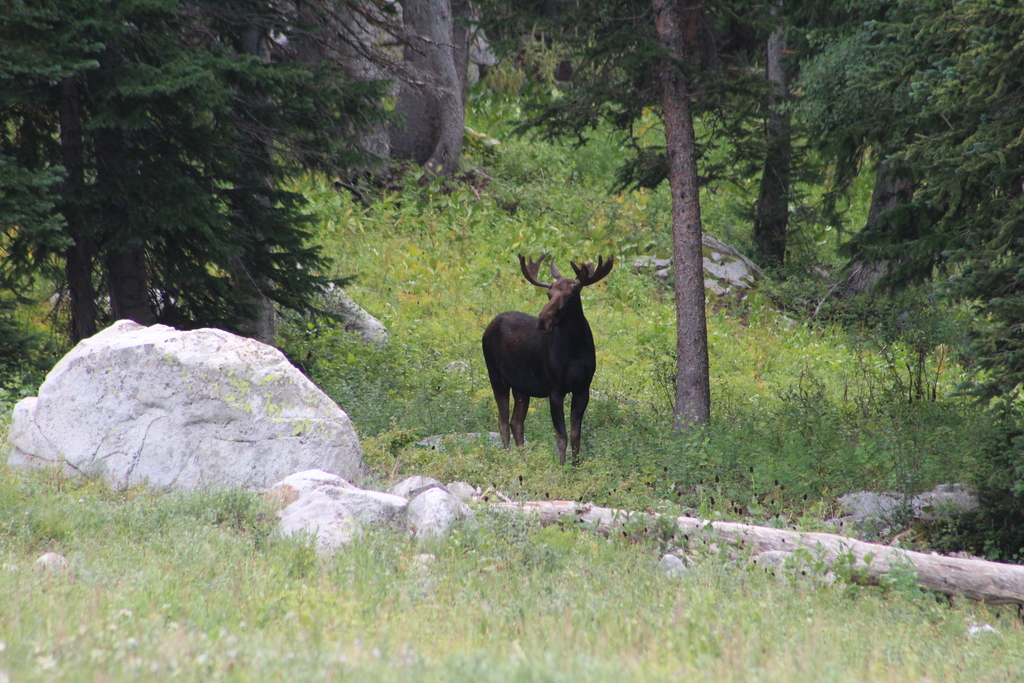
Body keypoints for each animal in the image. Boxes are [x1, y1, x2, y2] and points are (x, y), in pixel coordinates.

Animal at [481, 254, 614, 466]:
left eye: (570, 296)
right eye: (548, 294)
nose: (543, 321)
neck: (575, 350)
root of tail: (488, 327)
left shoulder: (583, 388)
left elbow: (576, 435)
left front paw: (576, 467)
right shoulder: (555, 390)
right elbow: (561, 436)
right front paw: (562, 467)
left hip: (522, 387)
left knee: (516, 422)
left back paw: (524, 462)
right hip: (496, 377)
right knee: (502, 421)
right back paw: (509, 459)